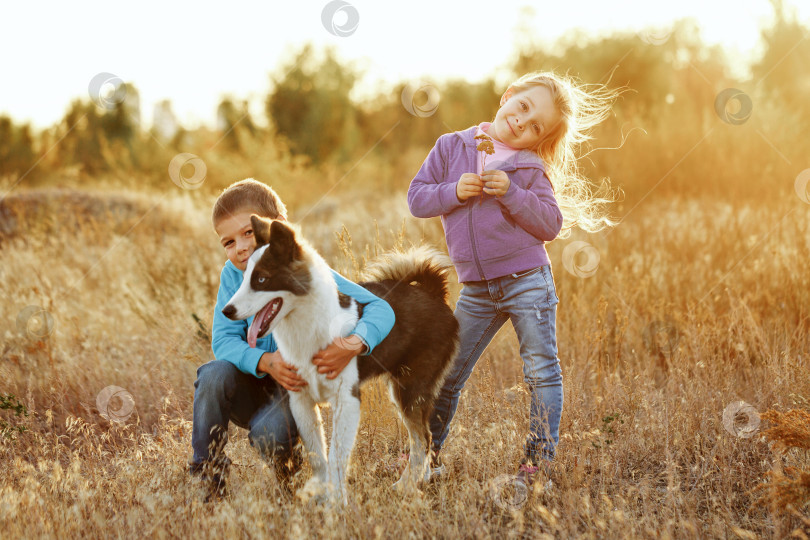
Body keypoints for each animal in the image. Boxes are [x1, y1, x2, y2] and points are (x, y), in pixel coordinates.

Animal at [221, 217, 458, 504]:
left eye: (262, 279)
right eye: (244, 278)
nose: (226, 311)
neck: (306, 327)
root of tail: (432, 293)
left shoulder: (347, 400)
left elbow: (335, 457)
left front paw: (338, 503)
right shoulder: (301, 403)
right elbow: (318, 457)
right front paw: (324, 496)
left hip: (411, 390)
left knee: (423, 438)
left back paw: (408, 486)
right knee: (423, 438)